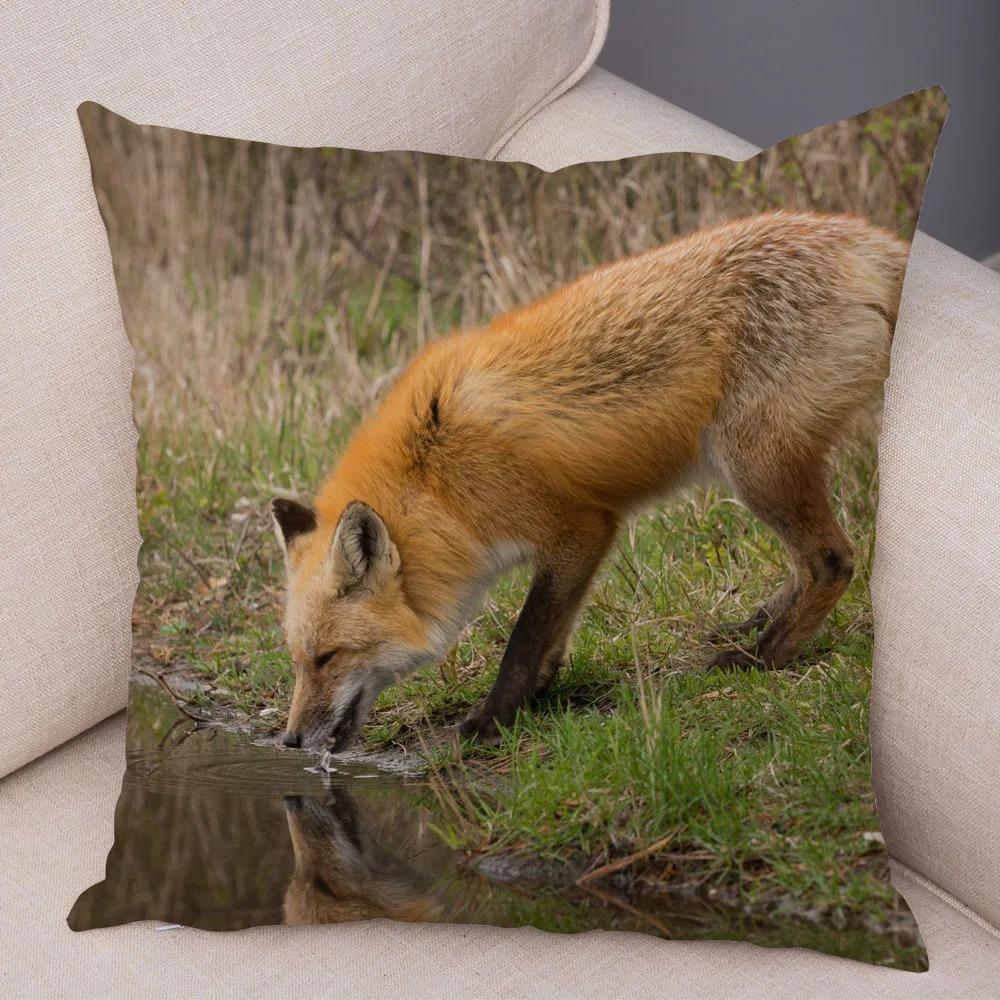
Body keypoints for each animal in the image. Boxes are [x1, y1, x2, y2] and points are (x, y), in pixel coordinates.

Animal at [271, 210, 907, 751]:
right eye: (298, 661)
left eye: (328, 657)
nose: (291, 741)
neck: (434, 476)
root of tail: (867, 238)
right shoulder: (571, 541)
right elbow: (551, 635)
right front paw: (538, 695)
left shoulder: (580, 526)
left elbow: (526, 635)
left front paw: (492, 719)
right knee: (806, 564)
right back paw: (755, 625)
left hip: (754, 464)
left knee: (831, 559)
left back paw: (762, 657)